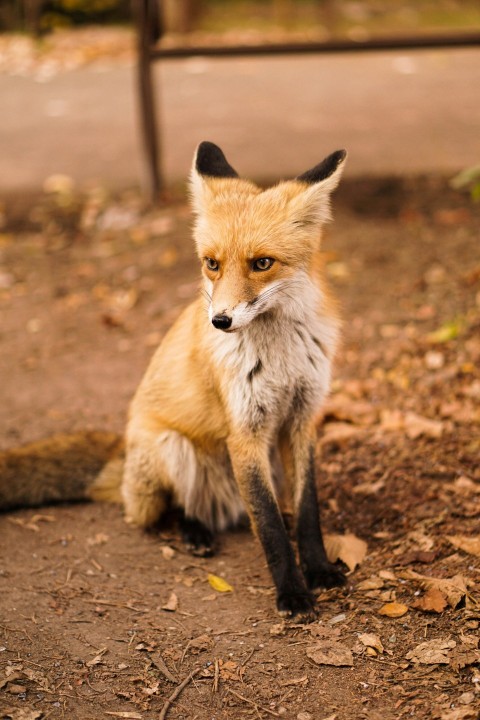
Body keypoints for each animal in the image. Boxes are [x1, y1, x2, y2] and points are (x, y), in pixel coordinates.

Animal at [0, 141, 347, 618]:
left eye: (262, 263)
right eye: (212, 263)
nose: (220, 321)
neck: (280, 357)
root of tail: (123, 451)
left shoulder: (302, 419)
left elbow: (307, 513)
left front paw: (319, 570)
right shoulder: (246, 433)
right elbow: (271, 528)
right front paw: (292, 593)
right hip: (171, 448)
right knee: (169, 509)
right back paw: (194, 532)